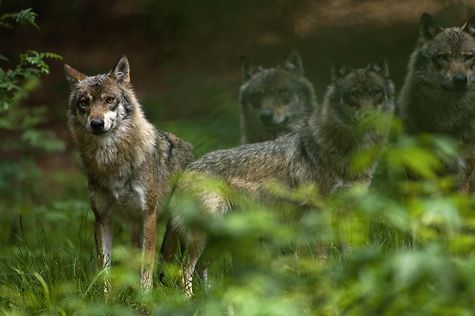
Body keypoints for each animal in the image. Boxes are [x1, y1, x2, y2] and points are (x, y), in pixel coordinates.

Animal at [63, 56, 193, 292]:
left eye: (110, 99)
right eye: (84, 102)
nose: (96, 123)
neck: (112, 162)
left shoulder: (149, 216)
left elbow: (147, 265)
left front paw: (145, 296)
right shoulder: (102, 218)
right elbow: (104, 267)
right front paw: (105, 297)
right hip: (136, 228)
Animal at [169, 55, 396, 296]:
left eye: (376, 93)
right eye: (353, 95)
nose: (370, 118)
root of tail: (189, 168)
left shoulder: (348, 212)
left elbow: (350, 254)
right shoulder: (319, 215)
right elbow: (321, 260)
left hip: (221, 238)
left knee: (201, 267)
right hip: (203, 237)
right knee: (185, 270)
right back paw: (188, 300)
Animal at [400, 12, 475, 188]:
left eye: (468, 57)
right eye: (443, 57)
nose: (460, 80)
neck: (446, 120)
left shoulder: (461, 175)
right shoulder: (418, 172)